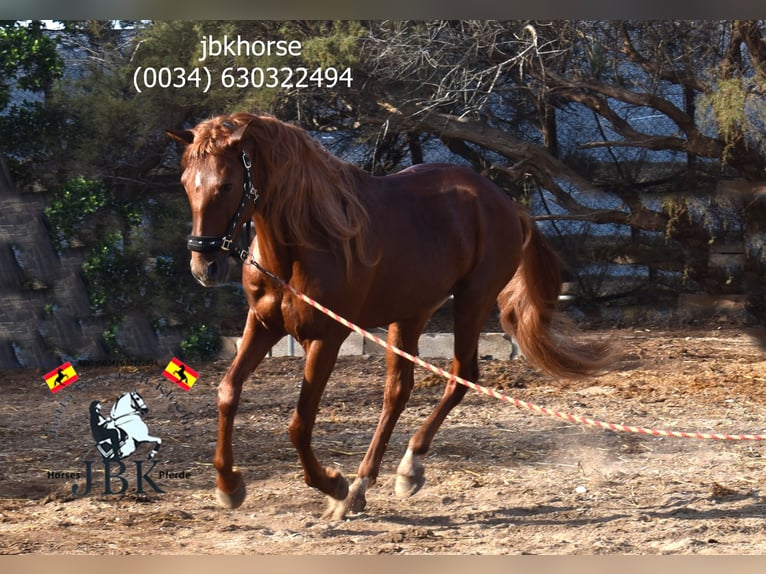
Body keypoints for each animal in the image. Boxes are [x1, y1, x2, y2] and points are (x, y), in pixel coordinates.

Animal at [170, 113, 616, 520]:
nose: (204, 266)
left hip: (472, 300)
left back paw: (403, 470)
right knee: (398, 391)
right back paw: (364, 485)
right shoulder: (262, 326)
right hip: (411, 314)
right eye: (186, 184)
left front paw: (332, 484)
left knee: (462, 373)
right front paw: (229, 486)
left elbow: (299, 423)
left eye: (227, 185)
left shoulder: (326, 338)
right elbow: (227, 392)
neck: (306, 241)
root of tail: (507, 205)